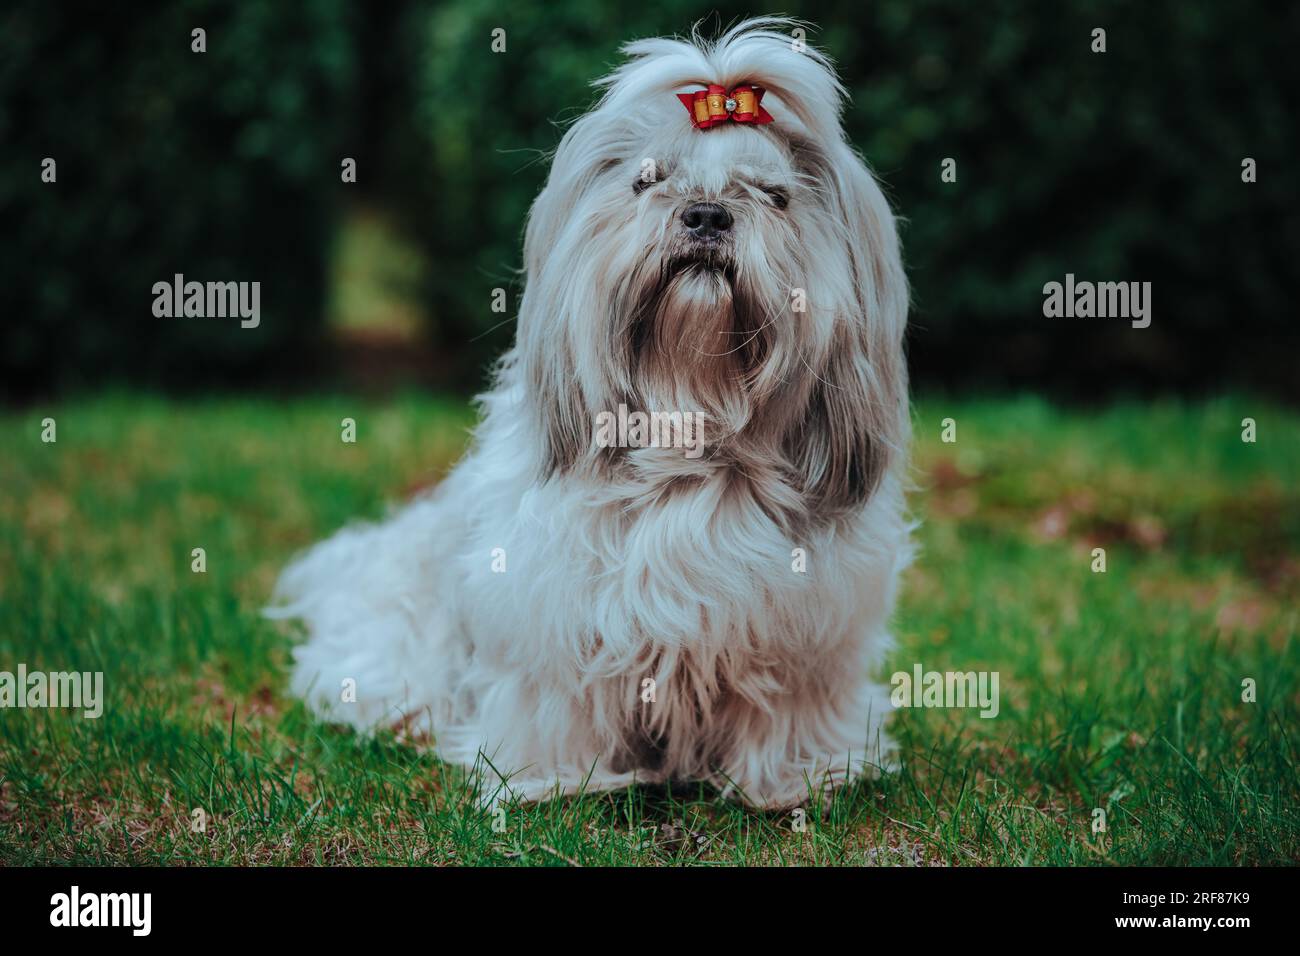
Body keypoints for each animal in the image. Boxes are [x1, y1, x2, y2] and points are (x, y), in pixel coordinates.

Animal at [269, 16, 909, 806]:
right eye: (648, 180)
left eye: (773, 195)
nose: (706, 214)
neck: (690, 426)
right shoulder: (550, 619)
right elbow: (558, 700)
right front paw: (554, 779)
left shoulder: (808, 634)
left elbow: (788, 710)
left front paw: (799, 777)